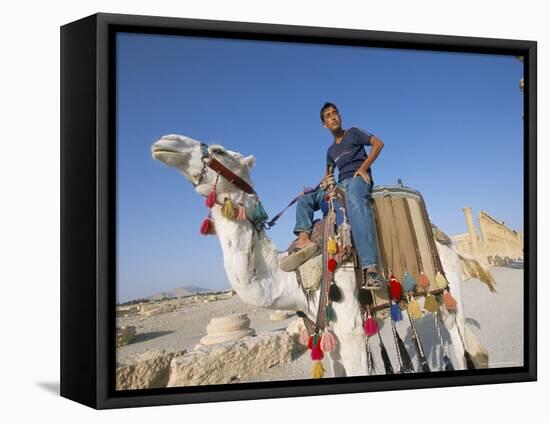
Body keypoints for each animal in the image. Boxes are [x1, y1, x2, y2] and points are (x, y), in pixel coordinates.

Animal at [150, 133, 492, 378]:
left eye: (218, 150)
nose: (165, 142)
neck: (291, 279)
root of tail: (446, 239)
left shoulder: (351, 329)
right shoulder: (328, 335)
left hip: (448, 288)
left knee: (458, 340)